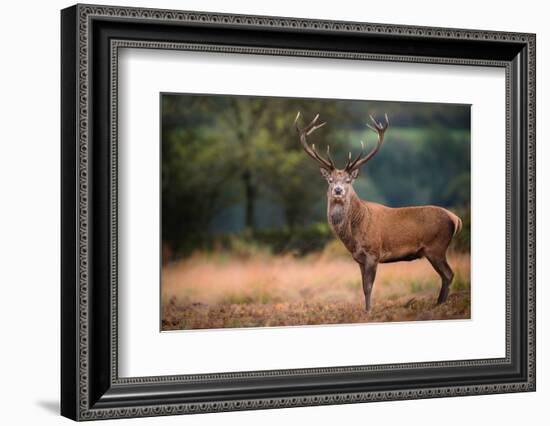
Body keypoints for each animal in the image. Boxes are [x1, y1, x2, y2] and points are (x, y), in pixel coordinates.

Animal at [296, 113, 464, 312]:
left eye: (347, 180)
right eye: (330, 180)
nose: (338, 190)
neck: (354, 234)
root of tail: (456, 219)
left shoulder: (373, 252)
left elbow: (369, 287)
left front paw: (369, 311)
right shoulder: (359, 258)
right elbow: (363, 286)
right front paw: (366, 310)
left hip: (436, 247)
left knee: (448, 274)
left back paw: (439, 305)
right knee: (447, 275)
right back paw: (439, 304)